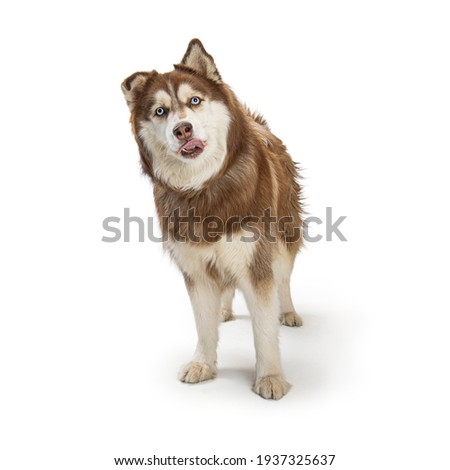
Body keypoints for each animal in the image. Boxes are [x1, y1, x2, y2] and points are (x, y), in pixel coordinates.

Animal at [121, 38, 304, 398]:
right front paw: (203, 364)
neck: (203, 187)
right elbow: (203, 324)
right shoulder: (195, 267)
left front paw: (270, 377)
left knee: (284, 278)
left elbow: (264, 328)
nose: (182, 129)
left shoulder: (255, 260)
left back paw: (287, 311)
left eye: (195, 100)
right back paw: (224, 310)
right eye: (160, 111)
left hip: (284, 238)